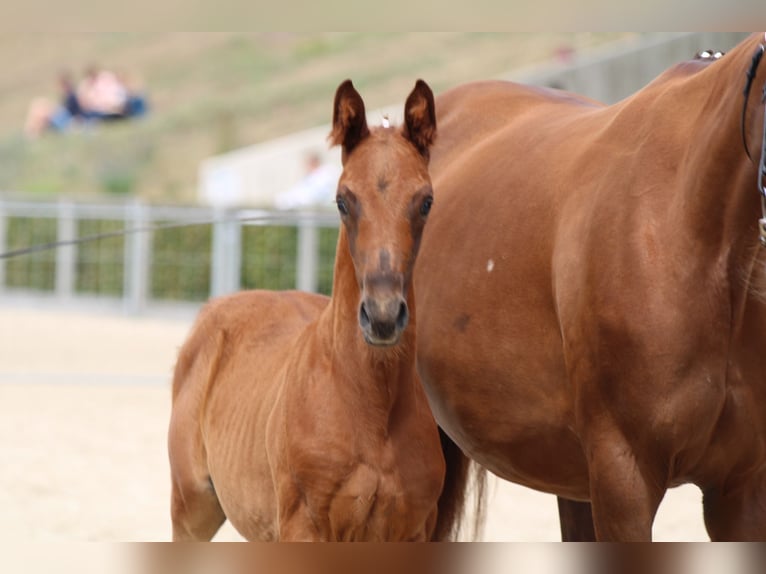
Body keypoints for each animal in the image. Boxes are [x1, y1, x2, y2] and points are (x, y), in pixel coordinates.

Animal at [168, 78, 476, 541]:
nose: (382, 316)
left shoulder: (412, 531)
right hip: (192, 510)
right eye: (342, 200)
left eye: (426, 201)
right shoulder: (305, 527)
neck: (369, 408)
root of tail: (218, 307)